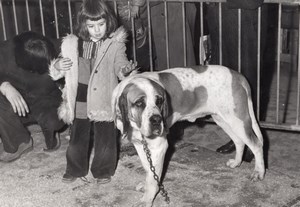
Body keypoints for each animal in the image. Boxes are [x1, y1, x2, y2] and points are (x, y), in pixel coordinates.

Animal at [112, 65, 264, 206]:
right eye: (139, 103)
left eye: (159, 101)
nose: (156, 120)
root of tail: (237, 75)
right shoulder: (139, 144)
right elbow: (148, 168)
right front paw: (147, 185)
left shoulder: (159, 146)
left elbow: (152, 176)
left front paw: (147, 199)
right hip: (224, 120)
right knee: (239, 141)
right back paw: (237, 162)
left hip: (237, 121)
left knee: (256, 145)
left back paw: (259, 172)